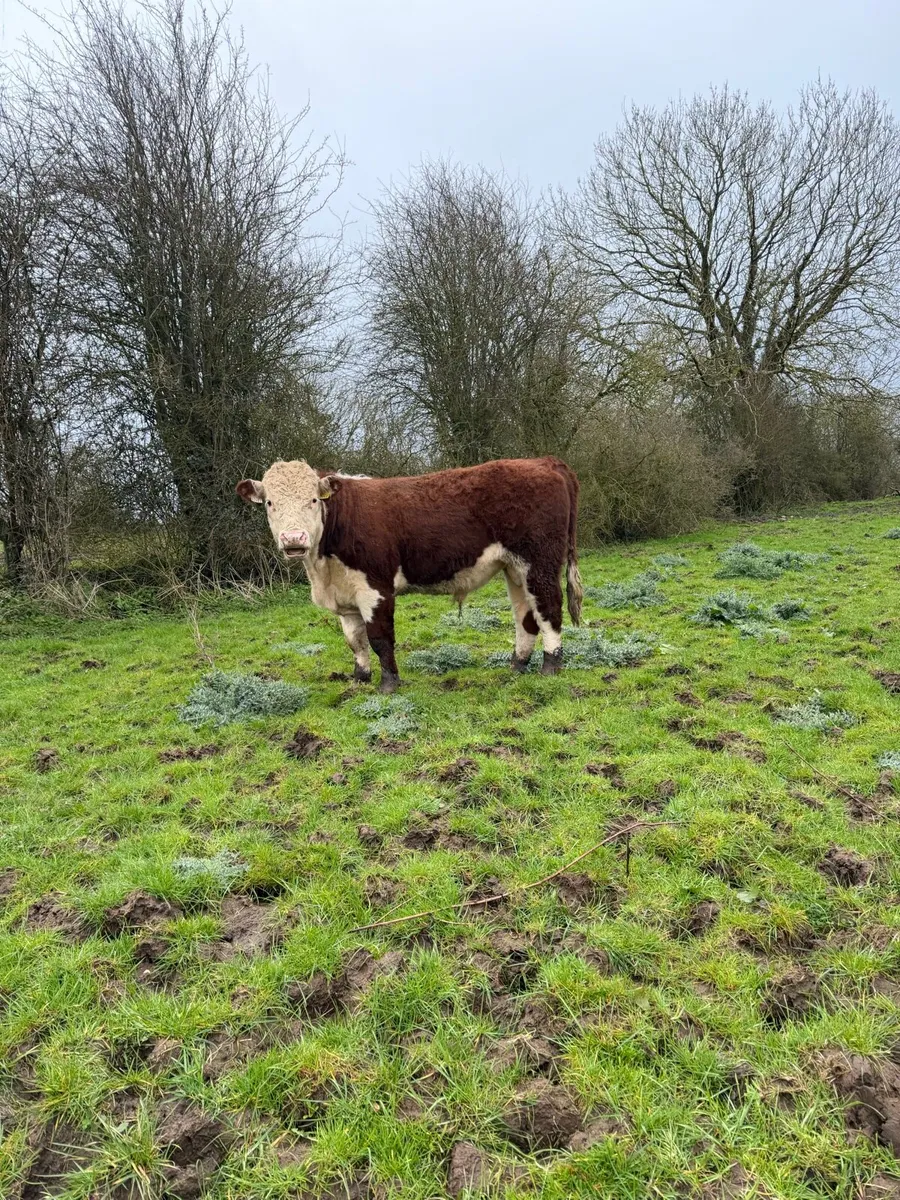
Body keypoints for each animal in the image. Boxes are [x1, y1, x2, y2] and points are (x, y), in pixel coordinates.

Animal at [236, 457, 583, 692]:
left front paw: (389, 684)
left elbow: (380, 639)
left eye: (311, 500)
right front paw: (359, 680)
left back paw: (551, 666)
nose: (293, 539)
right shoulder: (346, 597)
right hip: (514, 568)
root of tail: (542, 461)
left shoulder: (376, 588)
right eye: (270, 503)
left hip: (538, 562)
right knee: (526, 617)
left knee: (549, 609)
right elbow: (355, 641)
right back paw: (516, 666)